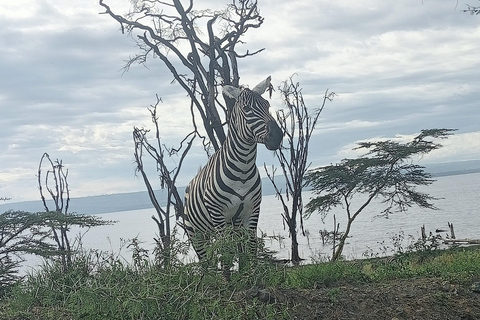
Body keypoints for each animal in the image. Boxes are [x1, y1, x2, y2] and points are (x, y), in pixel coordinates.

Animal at [183, 76, 282, 262]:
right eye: (247, 108)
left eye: (267, 105)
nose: (277, 136)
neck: (243, 169)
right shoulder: (218, 214)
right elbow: (227, 252)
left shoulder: (252, 210)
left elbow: (251, 249)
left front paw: (250, 271)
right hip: (196, 233)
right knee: (206, 261)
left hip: (230, 227)